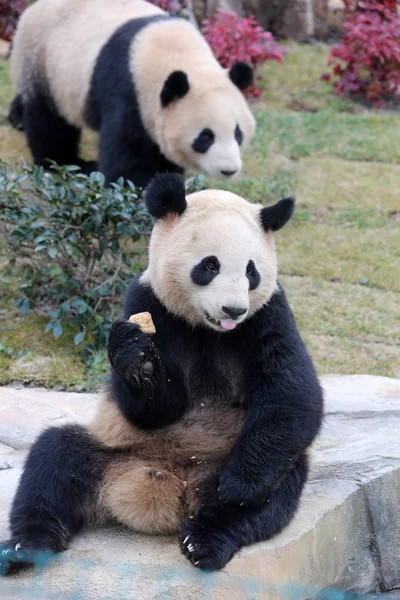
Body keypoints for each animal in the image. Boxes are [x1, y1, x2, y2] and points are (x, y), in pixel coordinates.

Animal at [0, 173, 324, 572]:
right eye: (210, 266)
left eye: (252, 271)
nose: (233, 309)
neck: (209, 328)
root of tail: (161, 485)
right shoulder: (148, 301)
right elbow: (153, 407)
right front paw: (138, 358)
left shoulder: (267, 315)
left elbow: (290, 391)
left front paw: (238, 486)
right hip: (114, 449)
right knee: (54, 462)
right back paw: (26, 547)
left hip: (232, 455)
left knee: (272, 491)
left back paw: (205, 539)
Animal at [9, 0, 256, 188]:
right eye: (205, 137)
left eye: (238, 133)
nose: (229, 170)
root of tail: (33, 8)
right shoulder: (129, 90)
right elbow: (128, 155)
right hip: (41, 58)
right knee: (49, 120)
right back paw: (66, 162)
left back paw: (17, 118)